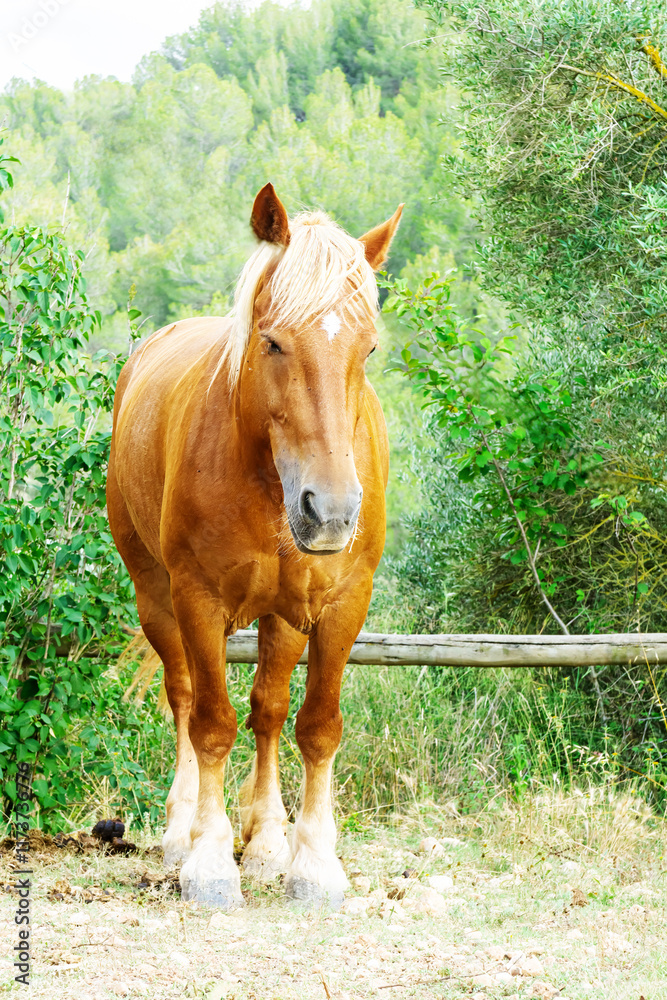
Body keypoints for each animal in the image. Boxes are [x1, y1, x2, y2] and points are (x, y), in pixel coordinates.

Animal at [106, 183, 403, 909]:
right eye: (272, 342)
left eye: (368, 349)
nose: (330, 511)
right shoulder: (197, 600)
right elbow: (211, 722)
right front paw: (209, 861)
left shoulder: (341, 604)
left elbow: (314, 725)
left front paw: (312, 862)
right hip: (157, 599)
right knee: (184, 697)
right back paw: (183, 829)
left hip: (282, 615)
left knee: (268, 711)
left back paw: (267, 840)